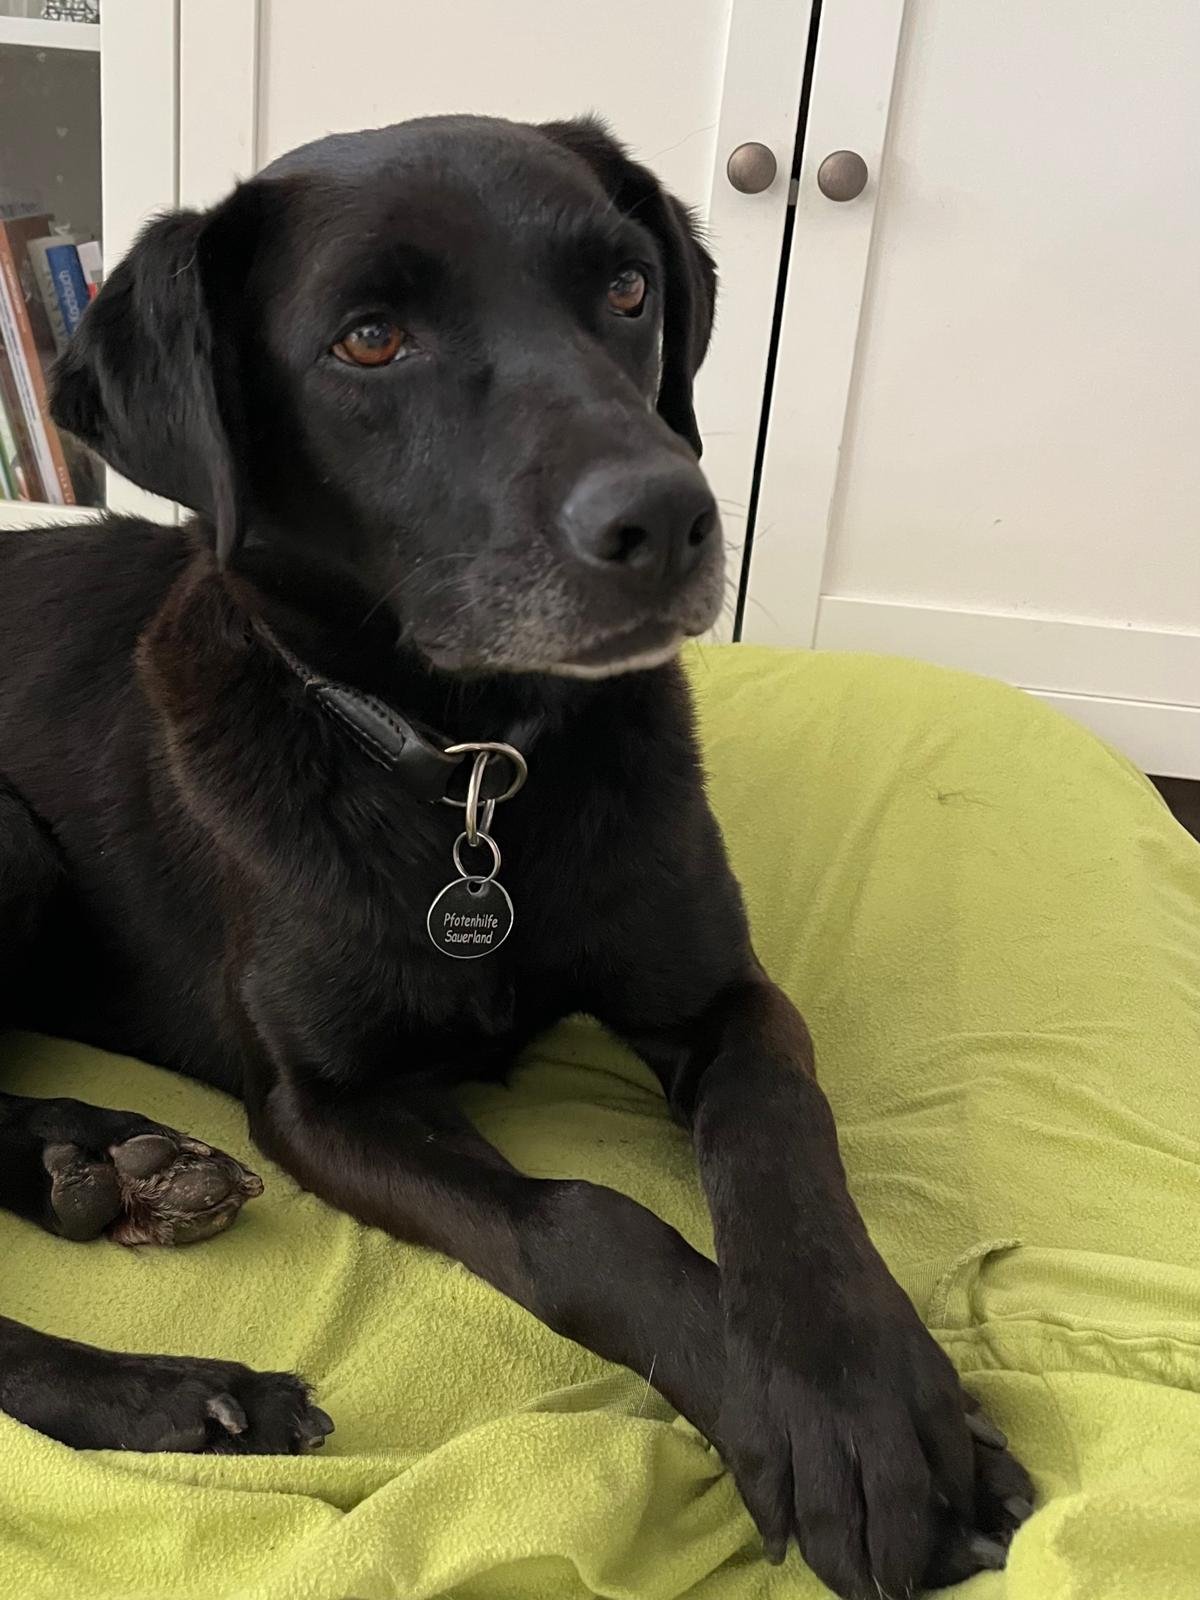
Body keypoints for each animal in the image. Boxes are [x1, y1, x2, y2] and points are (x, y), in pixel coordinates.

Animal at [0, 115, 1031, 1599]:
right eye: (369, 340)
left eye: (627, 290)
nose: (670, 519)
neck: (475, 773)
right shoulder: (323, 1104)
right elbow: (582, 1218)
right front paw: (814, 1424)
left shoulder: (724, 994)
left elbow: (779, 1129)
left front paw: (862, 1395)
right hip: (14, 845)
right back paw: (186, 1392)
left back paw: (99, 1170)